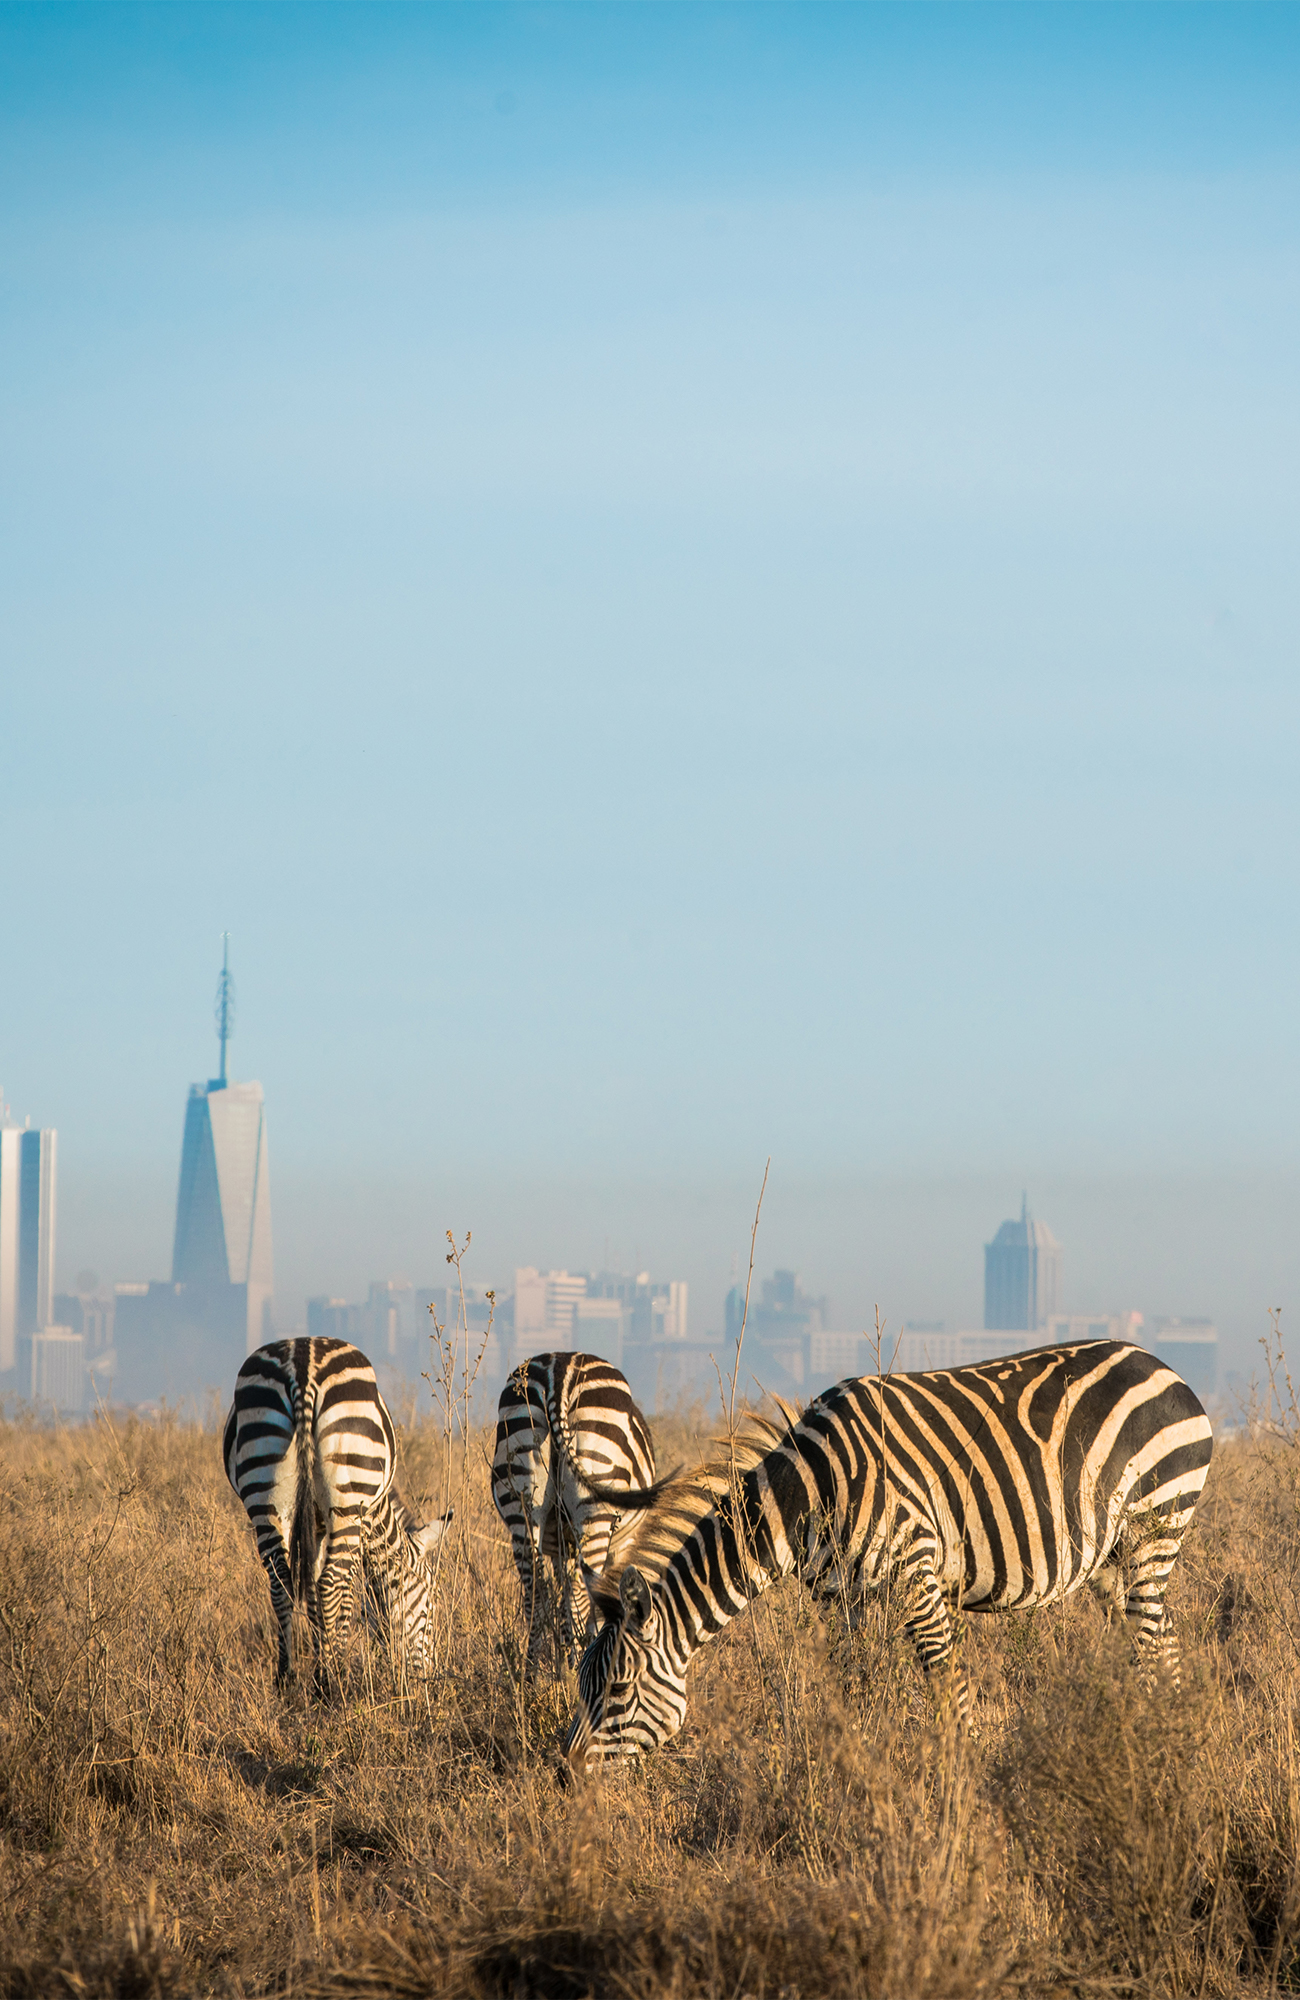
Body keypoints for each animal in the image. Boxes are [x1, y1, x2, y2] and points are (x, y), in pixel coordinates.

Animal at [223, 1337, 450, 1692]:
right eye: (431, 1603)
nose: (431, 1680)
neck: (379, 1514)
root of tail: (301, 1367)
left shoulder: (316, 1526)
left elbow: (313, 1593)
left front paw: (321, 1659)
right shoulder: (361, 1520)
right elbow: (342, 1595)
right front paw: (331, 1664)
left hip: (263, 1493)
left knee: (282, 1583)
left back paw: (287, 1679)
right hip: (348, 1494)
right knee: (332, 1582)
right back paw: (332, 1682)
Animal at [492, 1351, 657, 1668]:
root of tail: (558, 1370)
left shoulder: (560, 1548)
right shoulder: (621, 1546)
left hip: (521, 1497)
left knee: (536, 1597)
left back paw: (534, 1674)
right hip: (595, 1509)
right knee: (578, 1600)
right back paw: (575, 1671)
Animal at [564, 1340, 1213, 1769]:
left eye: (618, 1690)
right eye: (582, 1684)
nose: (567, 1776)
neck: (810, 1494)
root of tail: (1163, 1366)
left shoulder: (916, 1570)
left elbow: (946, 1687)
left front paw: (964, 1787)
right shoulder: (848, 1599)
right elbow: (854, 1685)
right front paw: (853, 1771)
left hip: (1154, 1527)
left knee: (1154, 1648)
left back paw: (1164, 1753)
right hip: (1113, 1559)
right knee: (1162, 1646)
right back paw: (1163, 1739)